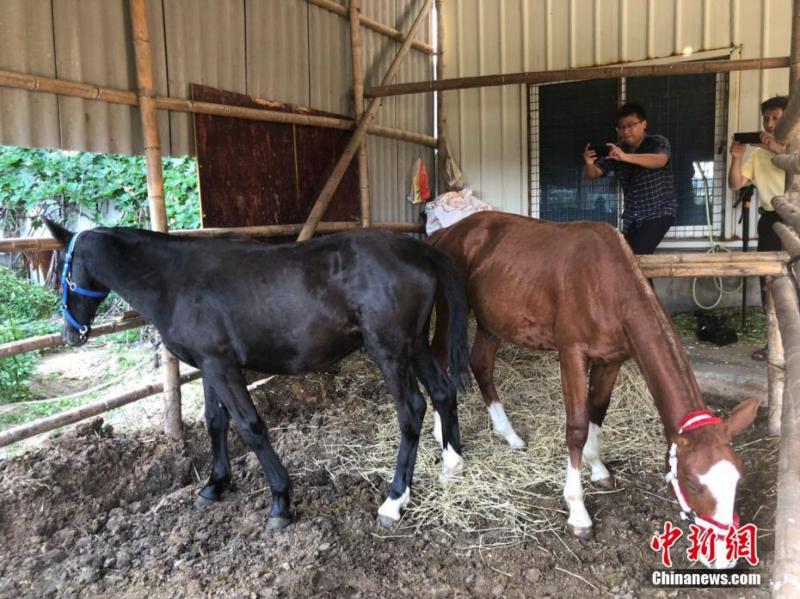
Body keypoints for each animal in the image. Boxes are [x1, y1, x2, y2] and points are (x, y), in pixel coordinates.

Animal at [45, 220, 468, 528]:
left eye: (62, 269)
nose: (69, 334)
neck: (172, 280)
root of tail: (417, 248)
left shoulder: (222, 367)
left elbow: (250, 427)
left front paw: (280, 501)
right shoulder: (211, 366)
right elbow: (215, 422)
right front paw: (214, 485)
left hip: (390, 350)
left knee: (411, 410)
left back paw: (395, 500)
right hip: (415, 344)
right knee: (443, 391)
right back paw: (452, 464)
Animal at [434, 213, 760, 568]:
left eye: (739, 480)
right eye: (691, 483)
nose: (725, 558)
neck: (606, 284)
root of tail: (448, 231)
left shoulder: (612, 359)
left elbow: (598, 411)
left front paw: (598, 467)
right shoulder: (572, 354)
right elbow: (576, 427)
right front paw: (578, 512)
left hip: (492, 322)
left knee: (481, 365)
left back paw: (509, 435)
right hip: (451, 313)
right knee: (439, 365)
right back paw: (446, 449)